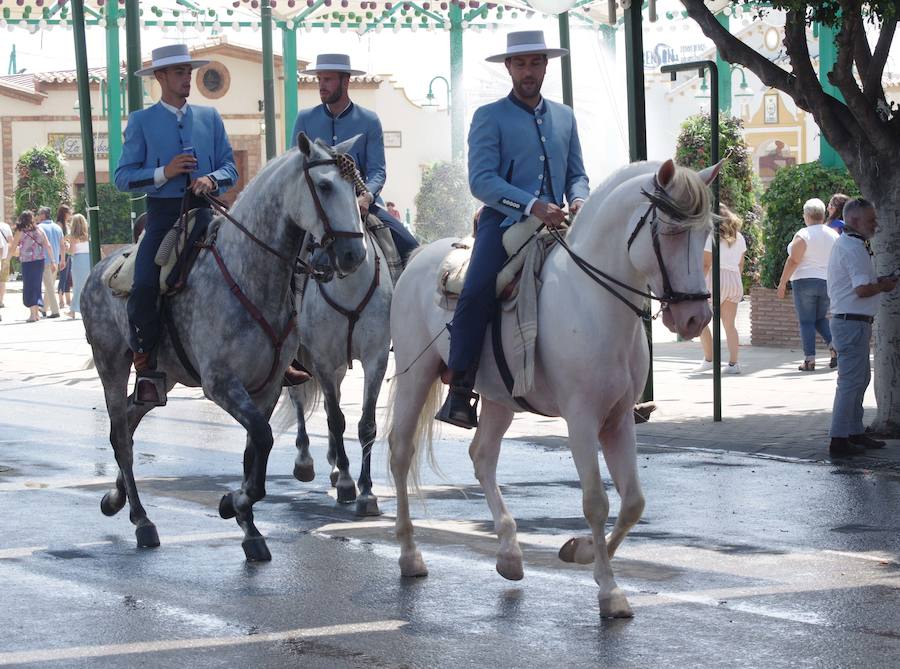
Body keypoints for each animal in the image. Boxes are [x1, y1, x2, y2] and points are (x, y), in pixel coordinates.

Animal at [81, 138, 368, 560]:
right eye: (326, 186)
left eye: (355, 187)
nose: (353, 255)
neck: (250, 277)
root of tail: (98, 271)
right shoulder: (221, 385)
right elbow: (262, 440)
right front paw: (234, 503)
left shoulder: (266, 389)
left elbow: (254, 451)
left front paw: (248, 525)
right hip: (111, 366)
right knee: (121, 434)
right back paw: (141, 519)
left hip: (162, 379)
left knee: (130, 423)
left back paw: (115, 499)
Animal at [284, 230, 390, 516]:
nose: (319, 263)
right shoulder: (322, 359)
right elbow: (335, 420)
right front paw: (346, 482)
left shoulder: (376, 357)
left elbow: (366, 425)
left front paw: (367, 492)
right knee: (299, 399)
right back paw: (304, 460)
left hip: (340, 366)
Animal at [384, 158, 716, 616]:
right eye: (669, 231)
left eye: (706, 232)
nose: (695, 319)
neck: (594, 300)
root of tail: (420, 255)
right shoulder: (581, 420)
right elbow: (596, 501)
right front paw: (609, 590)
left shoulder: (618, 419)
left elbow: (633, 502)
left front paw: (581, 552)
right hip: (416, 376)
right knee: (401, 452)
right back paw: (409, 554)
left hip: (499, 398)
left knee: (482, 456)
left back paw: (509, 553)